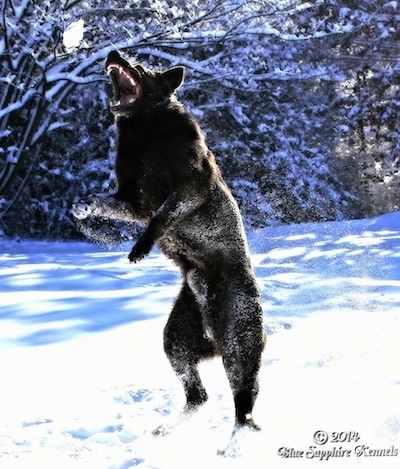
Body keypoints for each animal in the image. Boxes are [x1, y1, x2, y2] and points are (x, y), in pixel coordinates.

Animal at [72, 51, 266, 432]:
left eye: (139, 65)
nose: (114, 53)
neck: (144, 132)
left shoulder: (189, 187)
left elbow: (161, 218)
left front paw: (140, 249)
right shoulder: (133, 201)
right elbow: (101, 200)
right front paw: (83, 209)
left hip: (238, 343)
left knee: (243, 406)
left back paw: (236, 440)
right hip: (177, 337)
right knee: (199, 395)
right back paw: (169, 430)